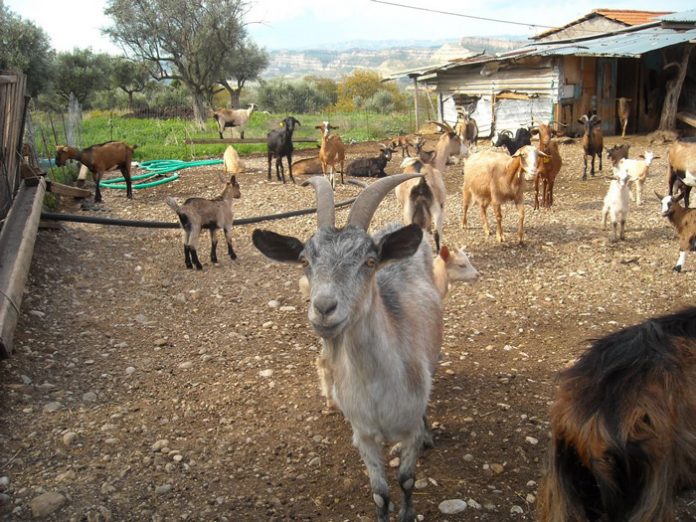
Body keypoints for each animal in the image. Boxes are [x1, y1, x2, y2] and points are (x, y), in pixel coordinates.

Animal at [253, 174, 444, 520]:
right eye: (304, 260)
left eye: (370, 261)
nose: (324, 307)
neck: (378, 389)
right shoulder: (364, 436)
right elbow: (380, 494)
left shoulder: (408, 429)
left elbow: (407, 480)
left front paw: (408, 512)